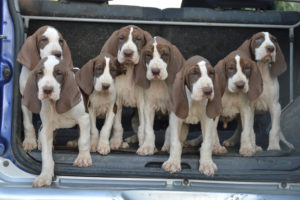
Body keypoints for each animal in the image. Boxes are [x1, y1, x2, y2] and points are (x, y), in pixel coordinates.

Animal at [22, 55, 91, 187]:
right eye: (40, 73)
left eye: (58, 73)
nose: (47, 90)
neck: (55, 103)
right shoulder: (47, 128)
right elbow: (46, 156)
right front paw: (44, 176)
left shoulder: (84, 119)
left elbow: (84, 141)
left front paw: (83, 158)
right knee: (40, 130)